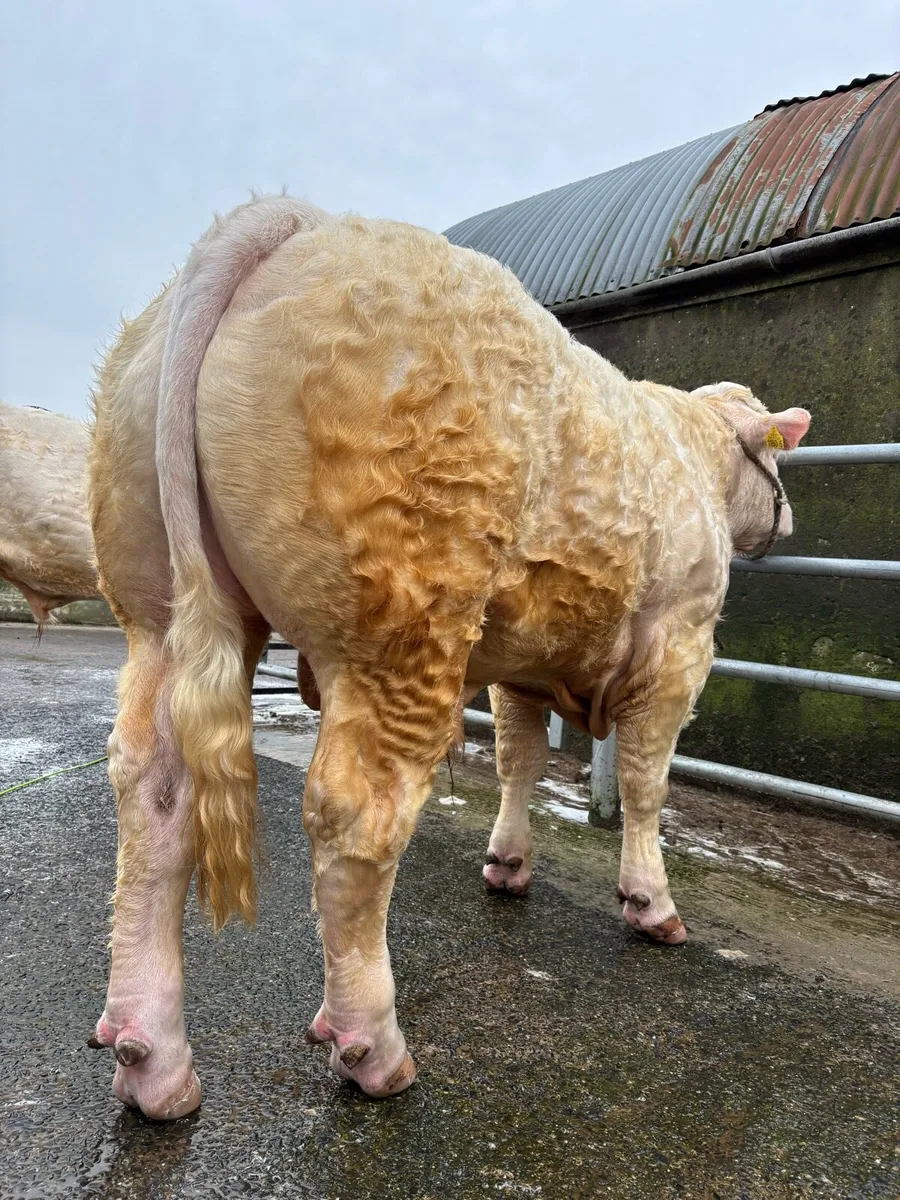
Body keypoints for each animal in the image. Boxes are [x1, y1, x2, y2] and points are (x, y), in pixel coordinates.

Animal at [87, 195, 810, 1117]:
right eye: (780, 458)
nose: (788, 521)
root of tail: (292, 221)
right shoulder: (679, 645)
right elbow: (648, 784)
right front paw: (651, 902)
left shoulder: (527, 658)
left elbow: (520, 760)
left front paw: (508, 862)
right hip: (405, 623)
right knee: (355, 815)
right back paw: (371, 1045)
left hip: (156, 611)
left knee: (154, 789)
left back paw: (154, 1062)